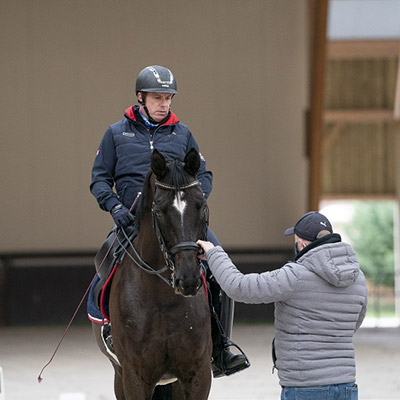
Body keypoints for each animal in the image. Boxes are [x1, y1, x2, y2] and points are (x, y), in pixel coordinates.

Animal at [93, 148, 212, 398]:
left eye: (201, 204)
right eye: (159, 210)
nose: (187, 279)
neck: (163, 299)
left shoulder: (199, 373)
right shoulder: (135, 377)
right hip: (120, 374)